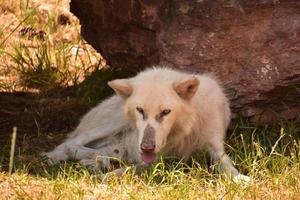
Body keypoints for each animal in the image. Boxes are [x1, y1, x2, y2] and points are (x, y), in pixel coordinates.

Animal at [44, 67, 251, 181]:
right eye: (140, 110)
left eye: (166, 112)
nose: (146, 147)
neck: (185, 130)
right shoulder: (154, 160)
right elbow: (129, 169)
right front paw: (105, 177)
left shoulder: (214, 145)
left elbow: (226, 164)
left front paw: (240, 178)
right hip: (113, 123)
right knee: (71, 143)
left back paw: (103, 159)